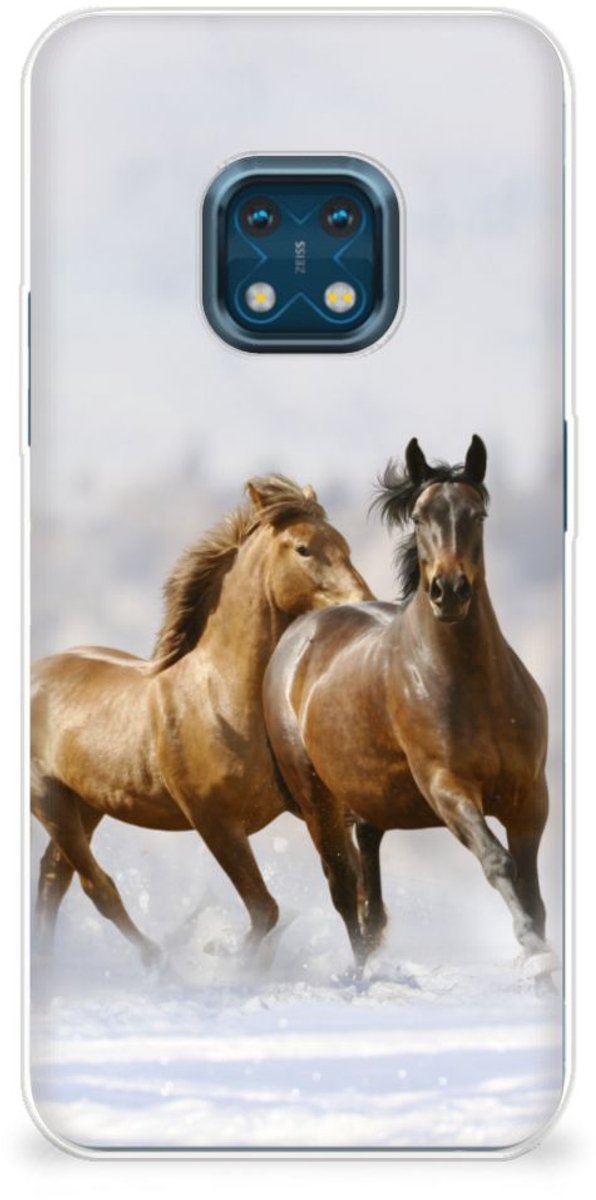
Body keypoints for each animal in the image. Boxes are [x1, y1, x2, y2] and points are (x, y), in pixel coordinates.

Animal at [31, 475, 372, 964]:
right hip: (49, 799)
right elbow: (265, 910)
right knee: (97, 887)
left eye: (344, 544)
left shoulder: (314, 808)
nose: (364, 603)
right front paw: (227, 957)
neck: (221, 700)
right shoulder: (214, 821)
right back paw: (159, 962)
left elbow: (349, 889)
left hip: (87, 803)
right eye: (304, 549)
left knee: (53, 878)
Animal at [263, 437, 552, 978]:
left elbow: (532, 889)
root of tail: (299, 633)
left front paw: (542, 961)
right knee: (344, 891)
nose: (449, 591)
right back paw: (360, 975)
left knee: (369, 893)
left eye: (477, 513)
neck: (473, 689)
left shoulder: (530, 797)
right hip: (317, 802)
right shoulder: (447, 788)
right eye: (419, 516)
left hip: (370, 800)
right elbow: (498, 861)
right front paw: (531, 948)